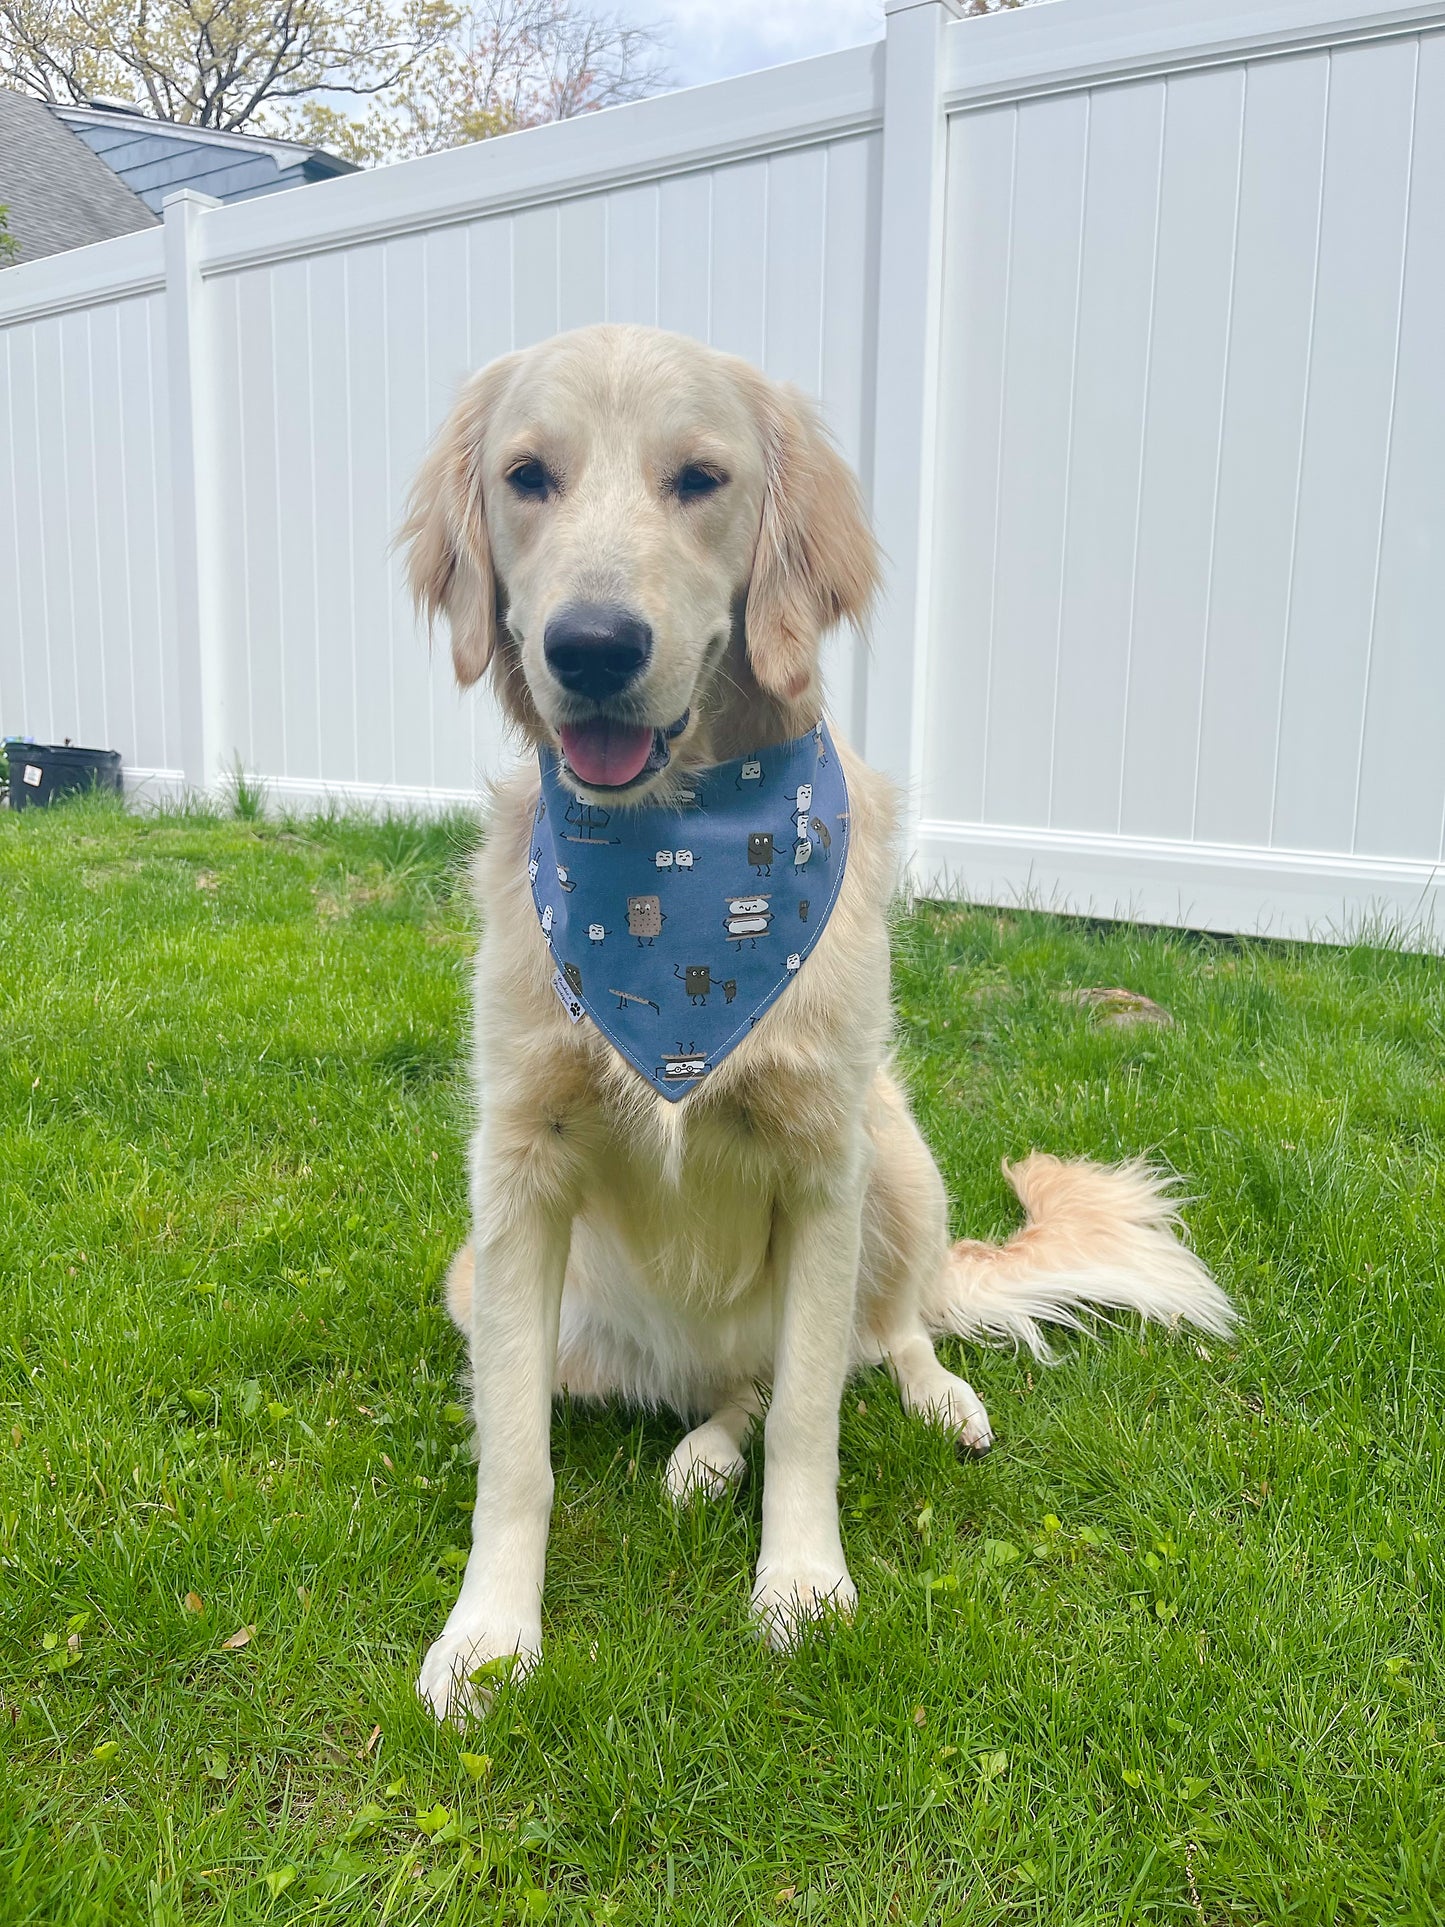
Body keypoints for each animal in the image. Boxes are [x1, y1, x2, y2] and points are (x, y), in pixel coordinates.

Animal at [402, 323, 1240, 1726]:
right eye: (527, 477)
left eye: (699, 479)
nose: (590, 645)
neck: (673, 868)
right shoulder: (514, 1170)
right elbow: (513, 1452)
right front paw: (487, 1636)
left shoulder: (818, 1159)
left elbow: (810, 1409)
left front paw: (798, 1583)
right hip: (501, 1290)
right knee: (729, 1388)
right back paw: (698, 1452)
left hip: (894, 1150)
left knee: (874, 1334)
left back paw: (935, 1395)